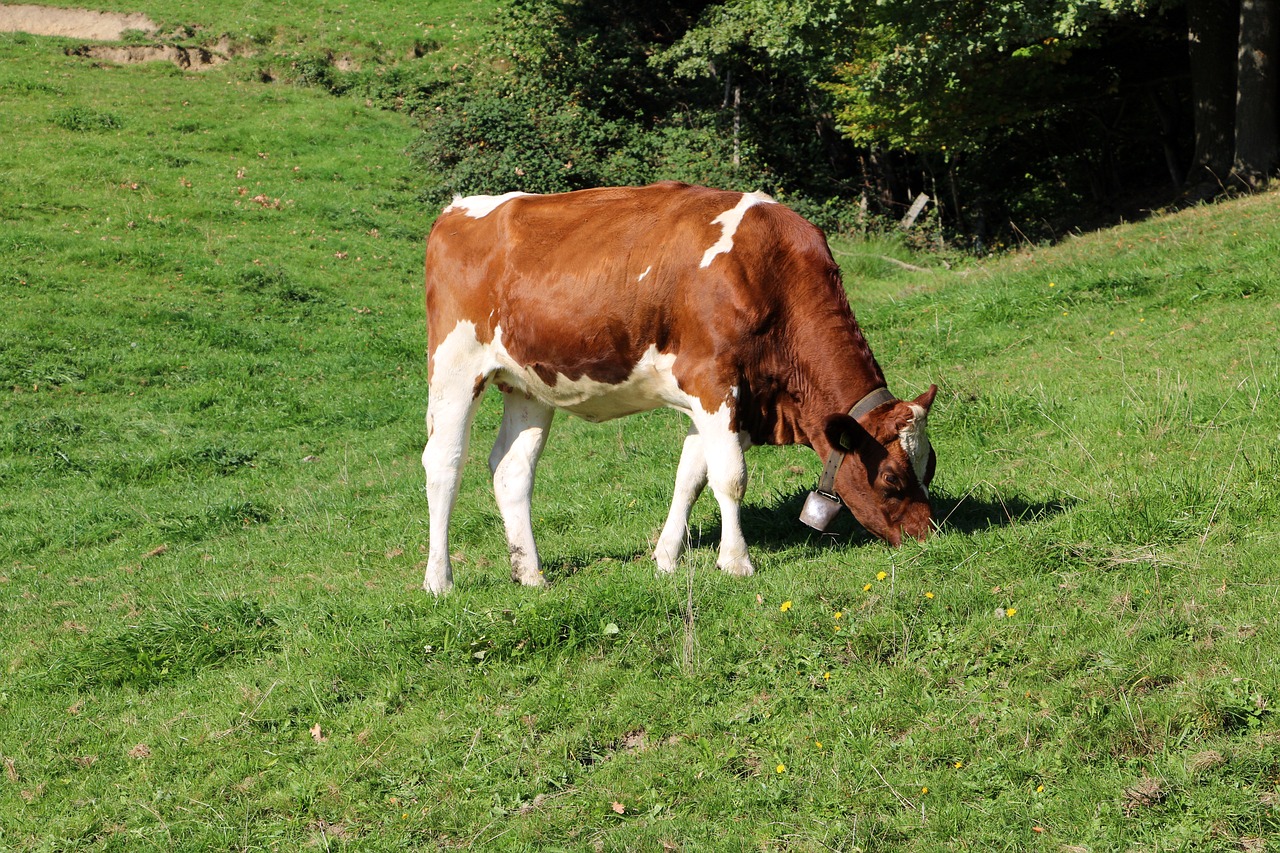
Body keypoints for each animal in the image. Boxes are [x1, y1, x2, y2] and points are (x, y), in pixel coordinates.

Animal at [424, 179, 936, 591]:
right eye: (891, 479)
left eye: (928, 467)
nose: (927, 535)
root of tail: (459, 208)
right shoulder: (712, 380)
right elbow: (731, 477)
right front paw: (736, 562)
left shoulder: (732, 399)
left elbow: (692, 476)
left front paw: (667, 559)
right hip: (454, 367)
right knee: (443, 464)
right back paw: (439, 580)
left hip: (528, 385)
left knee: (512, 470)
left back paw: (530, 574)